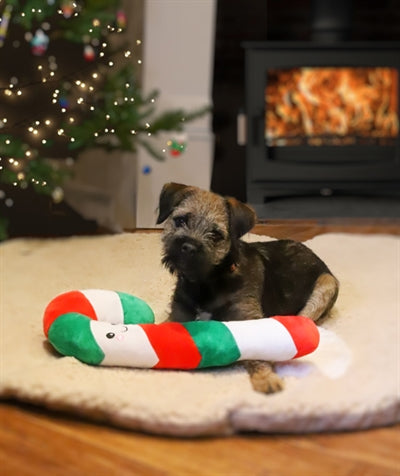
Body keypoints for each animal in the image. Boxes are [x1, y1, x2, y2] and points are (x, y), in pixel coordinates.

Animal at [155, 184, 338, 392]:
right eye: (181, 220)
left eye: (215, 234)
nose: (189, 247)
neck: (208, 281)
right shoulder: (178, 314)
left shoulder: (248, 317)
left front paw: (265, 378)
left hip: (326, 284)